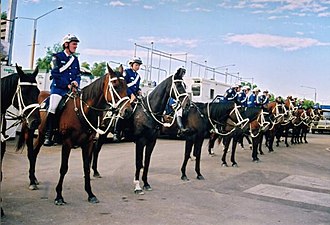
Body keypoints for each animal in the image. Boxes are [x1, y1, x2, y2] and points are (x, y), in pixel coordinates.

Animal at [15, 63, 131, 206]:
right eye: (115, 86)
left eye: (126, 86)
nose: (127, 111)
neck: (83, 111)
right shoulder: (67, 143)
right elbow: (64, 168)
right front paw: (59, 196)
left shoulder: (88, 143)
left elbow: (86, 167)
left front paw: (90, 194)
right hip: (31, 131)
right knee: (31, 153)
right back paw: (32, 181)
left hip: (41, 134)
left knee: (35, 153)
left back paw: (34, 179)